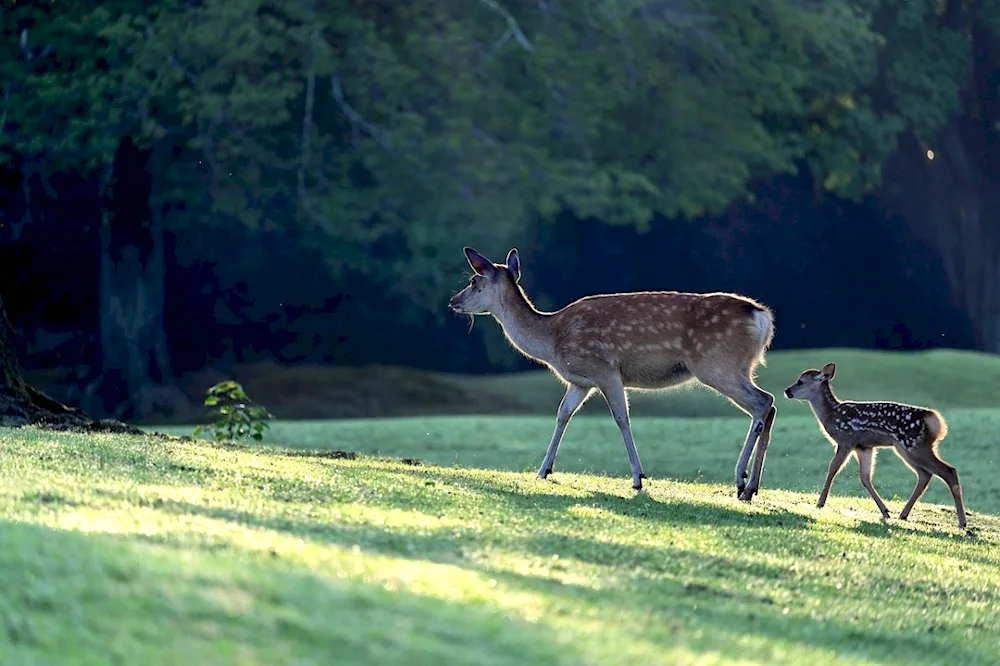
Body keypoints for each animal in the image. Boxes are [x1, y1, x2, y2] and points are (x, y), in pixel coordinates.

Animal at [450, 245, 776, 498]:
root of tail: (762, 317)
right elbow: (562, 415)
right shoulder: (580, 382)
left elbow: (622, 418)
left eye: (474, 281)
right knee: (769, 405)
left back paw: (741, 481)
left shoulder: (605, 370)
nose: (453, 302)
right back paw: (752, 487)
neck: (553, 340)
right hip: (738, 367)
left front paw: (638, 478)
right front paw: (543, 470)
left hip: (717, 364)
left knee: (763, 402)